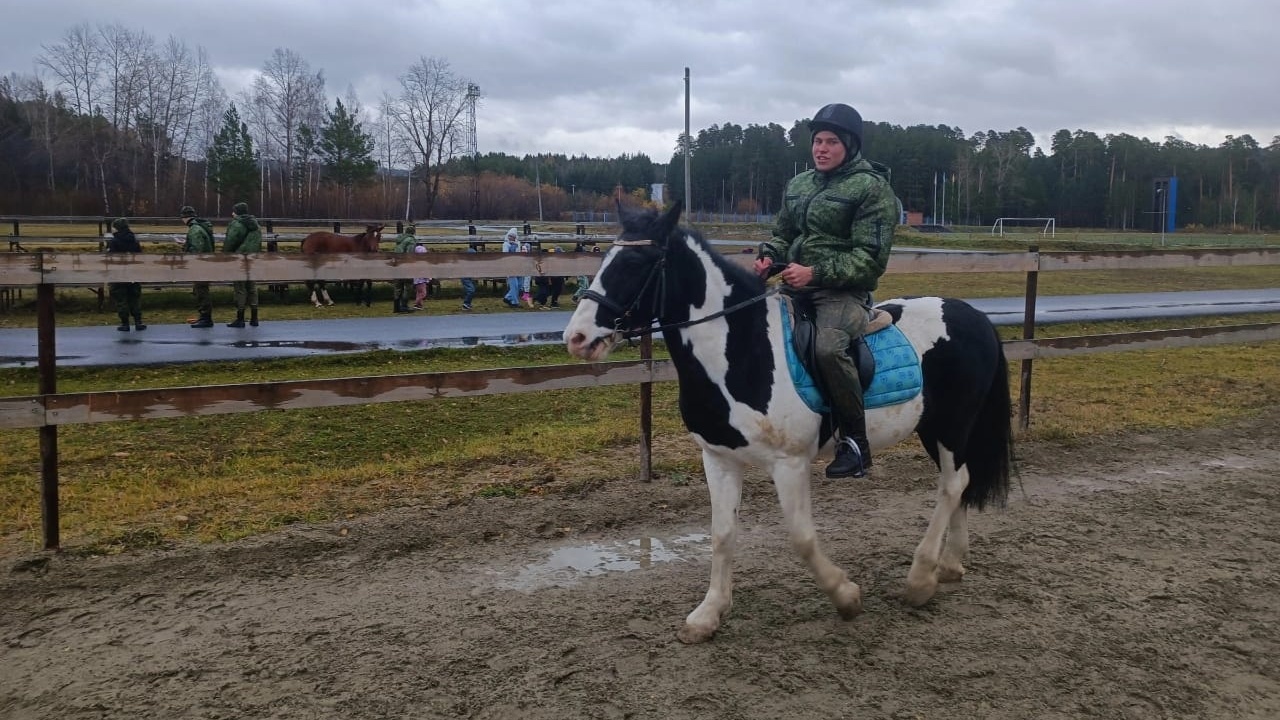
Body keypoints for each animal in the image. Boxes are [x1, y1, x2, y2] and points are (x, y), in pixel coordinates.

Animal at [565, 198, 1013, 640]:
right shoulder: (719, 458)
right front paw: (708, 614)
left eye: (636, 262)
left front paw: (846, 596)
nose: (576, 338)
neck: (741, 351)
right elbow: (721, 534)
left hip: (952, 427)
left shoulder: (790, 463)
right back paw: (949, 565)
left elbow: (802, 538)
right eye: (605, 258)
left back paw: (920, 580)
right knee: (958, 482)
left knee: (951, 486)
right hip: (933, 430)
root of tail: (974, 316)